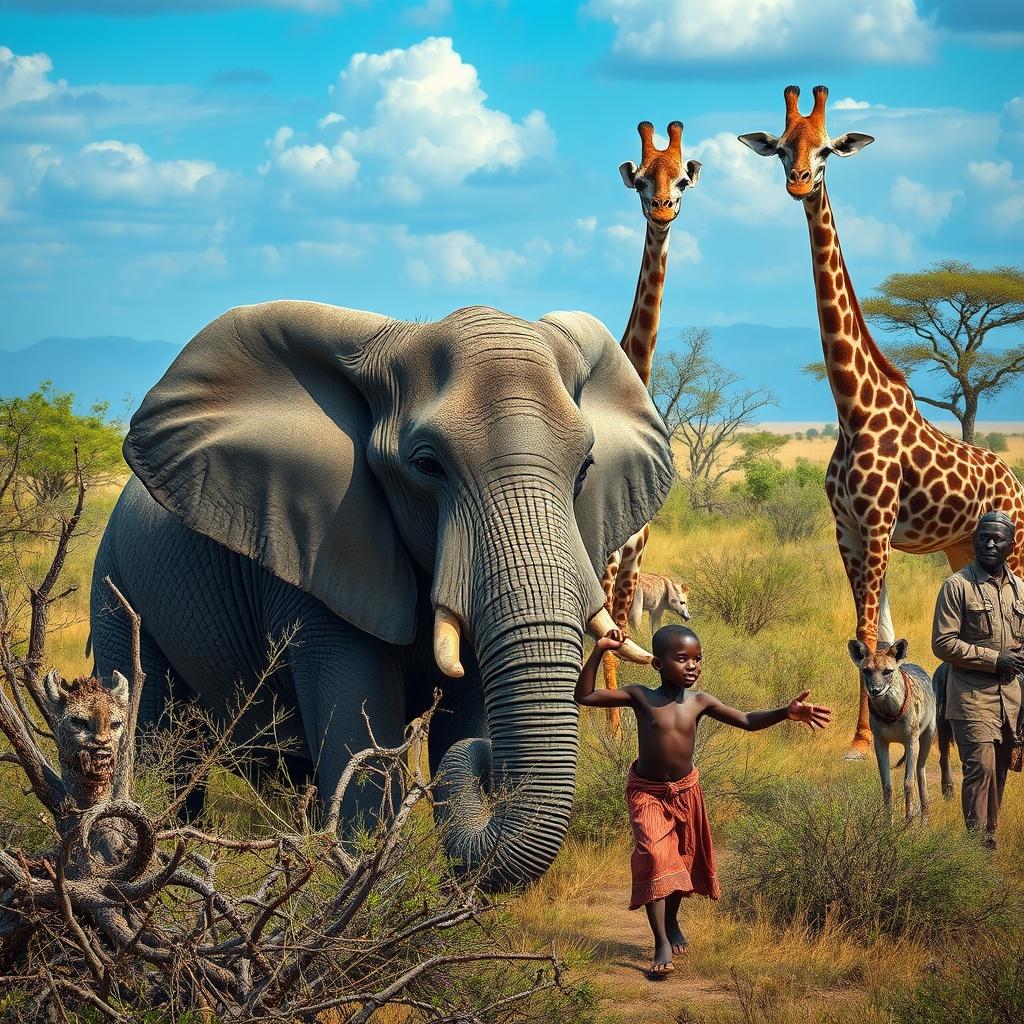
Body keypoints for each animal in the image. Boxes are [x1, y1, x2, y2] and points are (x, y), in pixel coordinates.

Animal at [89, 300, 674, 888]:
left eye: (585, 468)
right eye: (427, 465)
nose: (488, 763)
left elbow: (470, 706)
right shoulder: (323, 555)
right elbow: (360, 741)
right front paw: (372, 892)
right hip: (114, 583)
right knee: (157, 742)